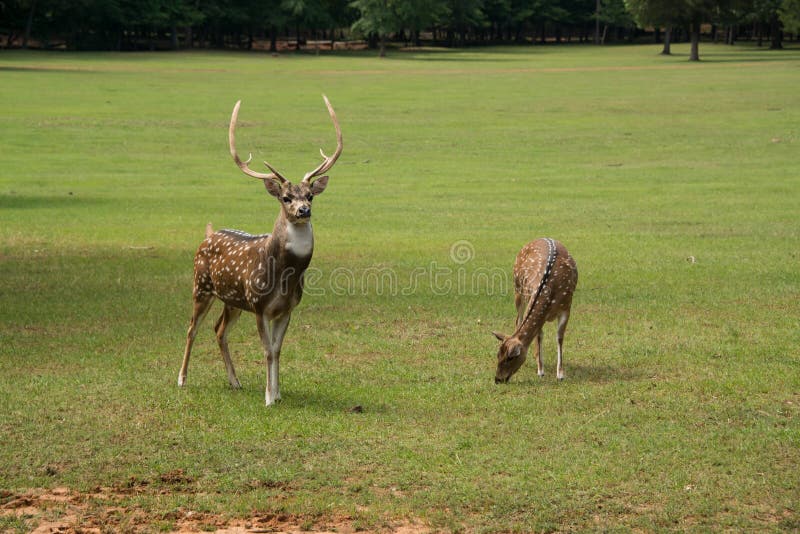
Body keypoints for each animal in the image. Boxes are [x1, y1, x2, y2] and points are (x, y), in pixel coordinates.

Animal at [180, 95, 342, 406]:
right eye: (286, 197)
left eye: (310, 195)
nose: (303, 210)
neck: (284, 275)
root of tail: (208, 234)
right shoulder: (259, 305)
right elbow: (267, 350)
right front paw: (268, 398)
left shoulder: (287, 308)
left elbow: (277, 349)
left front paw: (277, 394)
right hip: (200, 286)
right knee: (192, 327)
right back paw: (181, 379)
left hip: (231, 300)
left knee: (218, 330)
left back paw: (235, 381)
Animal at [494, 239, 576, 386]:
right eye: (498, 355)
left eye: (510, 358)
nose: (497, 379)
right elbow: (539, 336)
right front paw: (540, 370)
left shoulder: (566, 307)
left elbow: (559, 338)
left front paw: (560, 374)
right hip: (517, 289)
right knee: (518, 320)